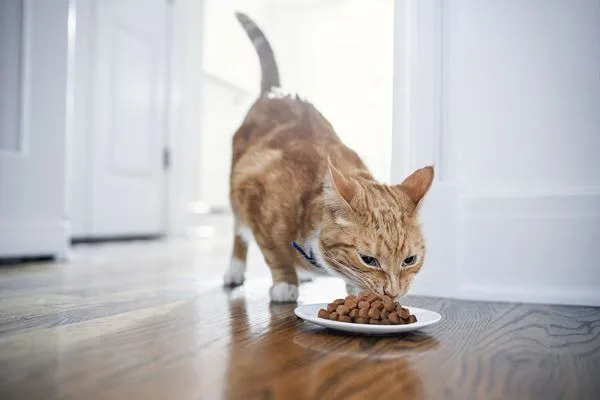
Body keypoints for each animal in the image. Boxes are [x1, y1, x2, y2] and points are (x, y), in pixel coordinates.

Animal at [223, 12, 434, 302]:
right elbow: (274, 253)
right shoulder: (253, 193)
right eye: (368, 259)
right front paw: (285, 282)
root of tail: (276, 90)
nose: (392, 293)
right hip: (236, 192)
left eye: (409, 260)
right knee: (238, 234)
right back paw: (235, 270)